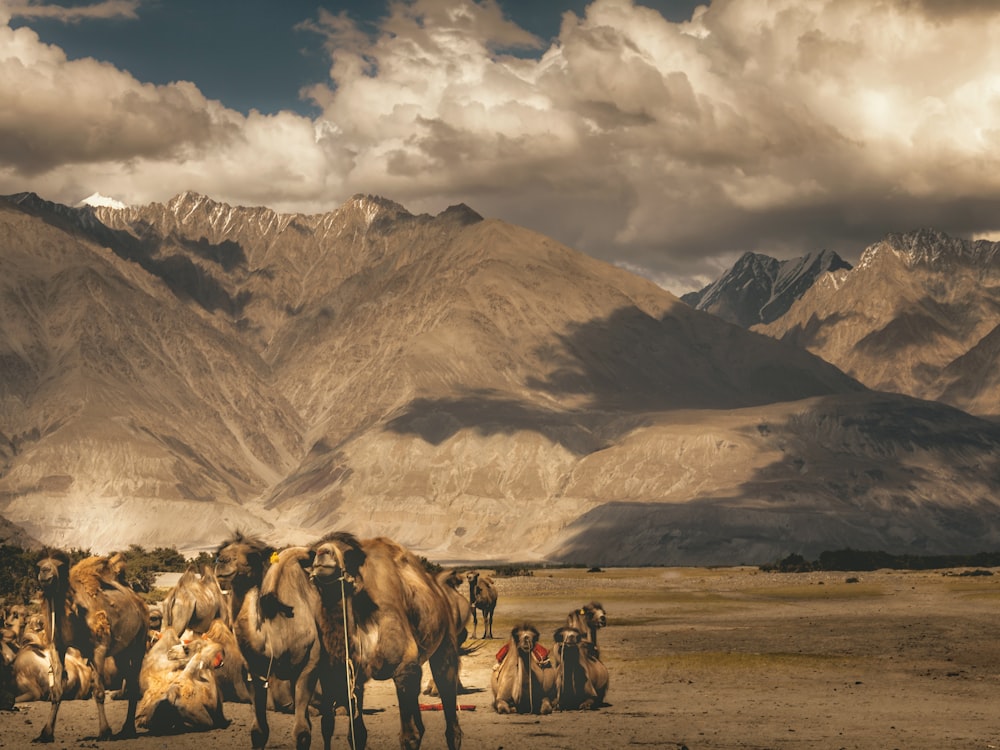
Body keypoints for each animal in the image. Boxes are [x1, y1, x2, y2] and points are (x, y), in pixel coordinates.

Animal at [34, 548, 148, 744]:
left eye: (60, 566)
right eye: (39, 566)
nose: (45, 574)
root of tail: (138, 600)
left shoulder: (99, 649)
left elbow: (99, 691)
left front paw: (105, 732)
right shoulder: (56, 646)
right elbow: (56, 690)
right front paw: (45, 734)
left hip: (139, 642)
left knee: (134, 682)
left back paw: (128, 730)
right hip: (121, 652)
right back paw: (126, 730)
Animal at [215, 536, 324, 750]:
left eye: (252, 556)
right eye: (221, 552)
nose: (222, 562)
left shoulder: (310, 665)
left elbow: (302, 733)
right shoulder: (255, 673)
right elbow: (259, 731)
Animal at [310, 536, 462, 750]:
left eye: (348, 554)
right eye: (312, 553)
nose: (323, 552)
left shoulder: (403, 668)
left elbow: (409, 737)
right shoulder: (353, 677)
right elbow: (357, 735)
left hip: (446, 639)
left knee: (448, 698)